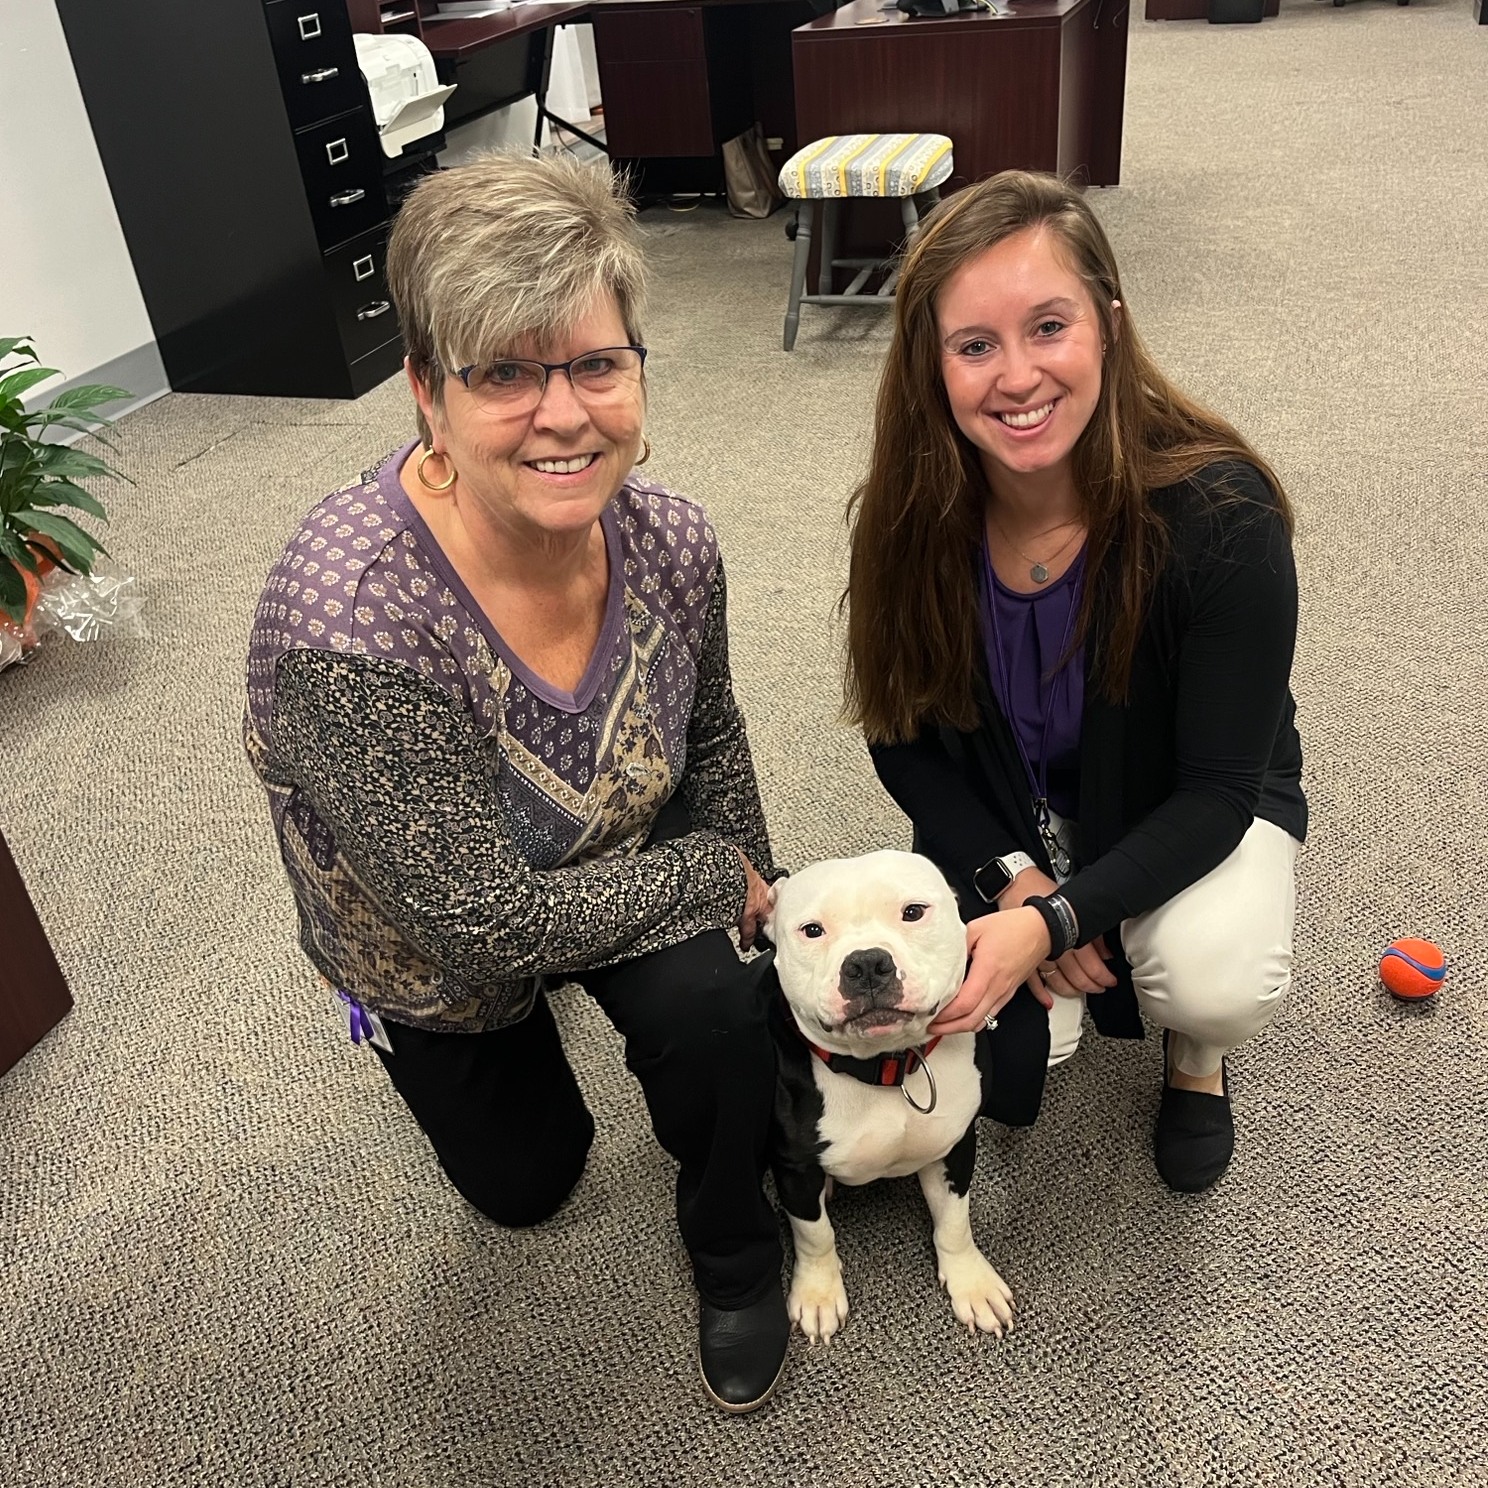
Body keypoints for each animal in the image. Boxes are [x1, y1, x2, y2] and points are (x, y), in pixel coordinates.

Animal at [767, 851, 1011, 1351]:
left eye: (913, 912)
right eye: (812, 930)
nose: (866, 963)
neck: (886, 1068)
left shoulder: (956, 1145)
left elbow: (954, 1222)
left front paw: (970, 1281)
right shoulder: (794, 1168)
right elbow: (814, 1234)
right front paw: (818, 1292)